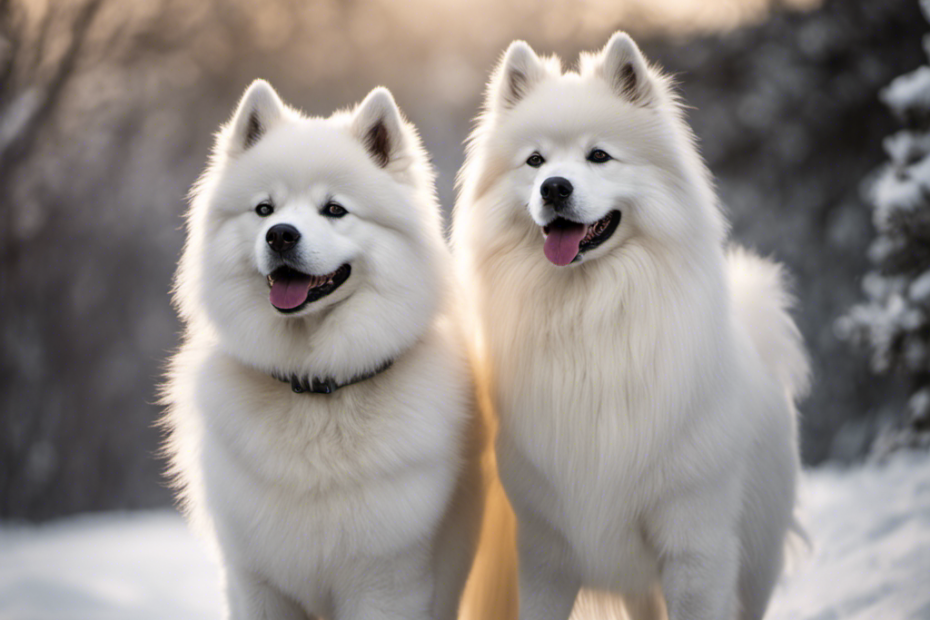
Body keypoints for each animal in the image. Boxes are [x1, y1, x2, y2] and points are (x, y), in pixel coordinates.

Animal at [165, 81, 486, 620]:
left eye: (334, 210)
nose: (280, 235)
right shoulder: (257, 583)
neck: (315, 386)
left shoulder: (385, 583)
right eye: (264, 210)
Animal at [454, 32, 808, 620]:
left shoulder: (695, 546)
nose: (553, 187)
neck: (588, 316)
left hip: (755, 564)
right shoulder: (546, 550)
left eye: (599, 156)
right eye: (535, 160)